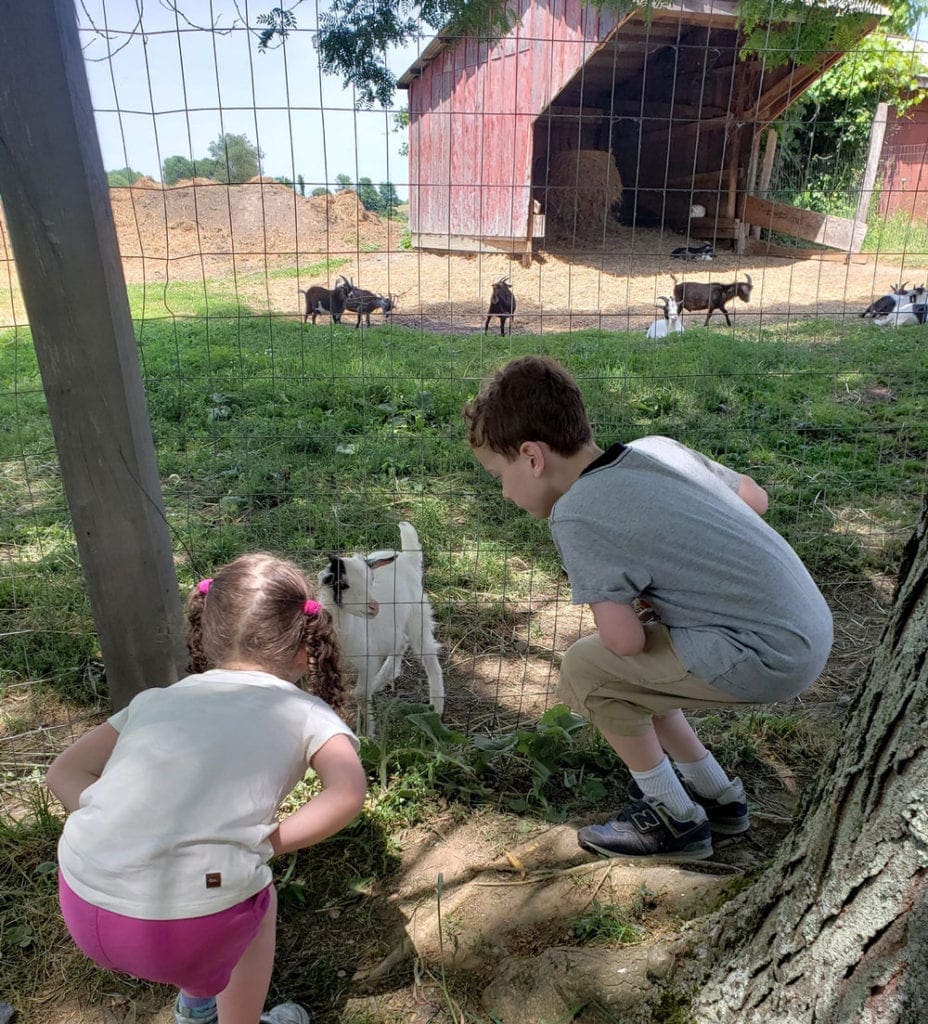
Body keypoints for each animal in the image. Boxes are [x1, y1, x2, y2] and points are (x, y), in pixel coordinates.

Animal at [315, 520, 442, 737]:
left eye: (371, 581)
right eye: (342, 584)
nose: (375, 607)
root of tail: (407, 558)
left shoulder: (367, 658)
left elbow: (360, 694)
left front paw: (365, 734)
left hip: (418, 615)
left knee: (429, 655)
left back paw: (437, 709)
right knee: (400, 643)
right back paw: (381, 680)